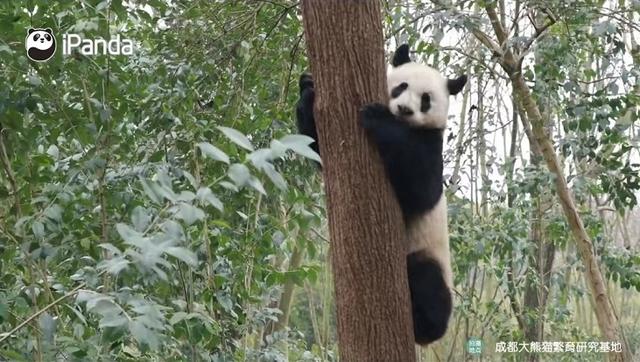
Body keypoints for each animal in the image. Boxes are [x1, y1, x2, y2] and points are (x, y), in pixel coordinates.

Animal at [298, 43, 468, 344]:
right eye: (401, 87)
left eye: (426, 100)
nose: (404, 109)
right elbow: (319, 152)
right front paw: (307, 88)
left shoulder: (431, 145)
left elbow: (422, 189)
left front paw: (378, 118)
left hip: (428, 252)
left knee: (428, 281)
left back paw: (425, 324)